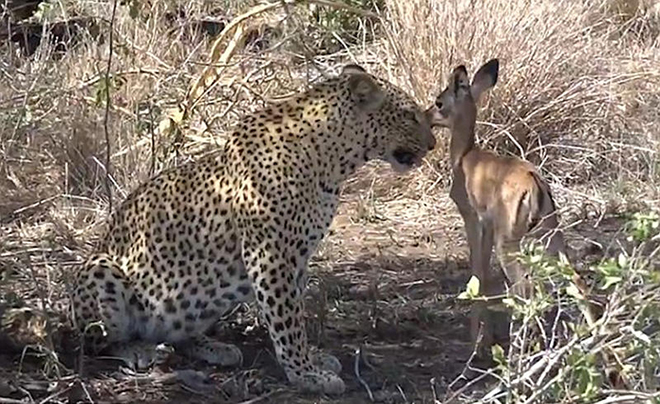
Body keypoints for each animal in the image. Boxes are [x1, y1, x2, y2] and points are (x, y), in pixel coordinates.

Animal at [71, 64, 436, 395]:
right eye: (409, 116)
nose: (433, 144)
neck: (333, 164)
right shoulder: (270, 254)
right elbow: (287, 320)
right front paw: (306, 374)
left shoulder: (299, 257)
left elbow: (295, 314)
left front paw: (313, 360)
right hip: (101, 270)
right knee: (98, 342)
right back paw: (139, 349)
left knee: (177, 331)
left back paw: (213, 347)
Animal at [425, 59, 566, 354]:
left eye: (440, 101)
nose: (426, 115)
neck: (465, 157)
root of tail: (535, 183)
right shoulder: (488, 225)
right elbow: (486, 274)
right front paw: (486, 337)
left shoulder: (472, 219)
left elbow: (477, 270)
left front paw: (476, 342)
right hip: (551, 236)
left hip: (509, 242)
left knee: (523, 288)